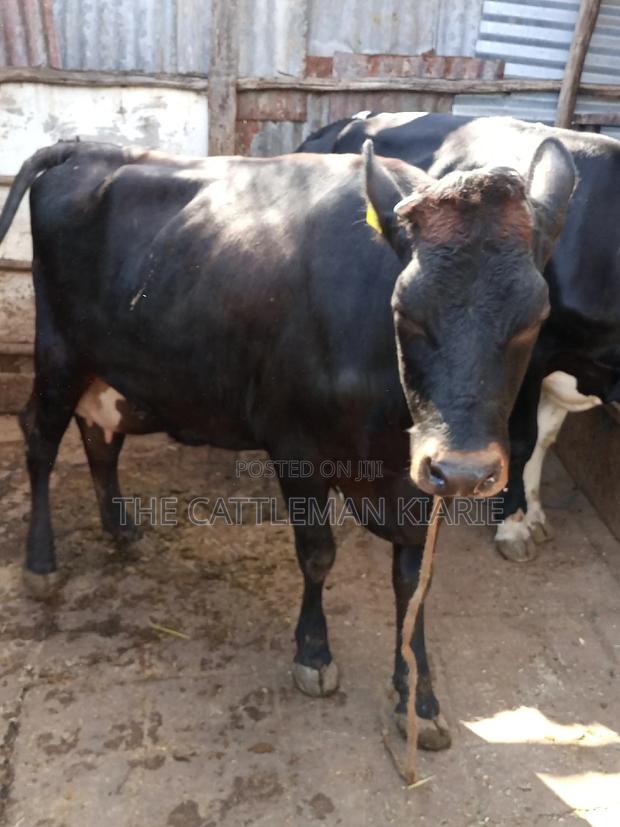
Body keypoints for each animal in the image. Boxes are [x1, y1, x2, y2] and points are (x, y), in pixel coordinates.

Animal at [0, 137, 574, 750]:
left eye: (535, 318)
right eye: (405, 311)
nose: (465, 472)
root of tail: (85, 146)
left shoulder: (417, 481)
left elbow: (414, 580)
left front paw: (417, 698)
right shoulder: (297, 448)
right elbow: (318, 554)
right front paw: (314, 653)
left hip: (112, 370)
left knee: (101, 437)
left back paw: (120, 526)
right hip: (59, 354)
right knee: (40, 438)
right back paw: (40, 561)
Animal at [298, 113, 620, 562]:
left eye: (534, 316)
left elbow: (547, 437)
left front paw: (534, 512)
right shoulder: (540, 355)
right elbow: (525, 439)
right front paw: (513, 525)